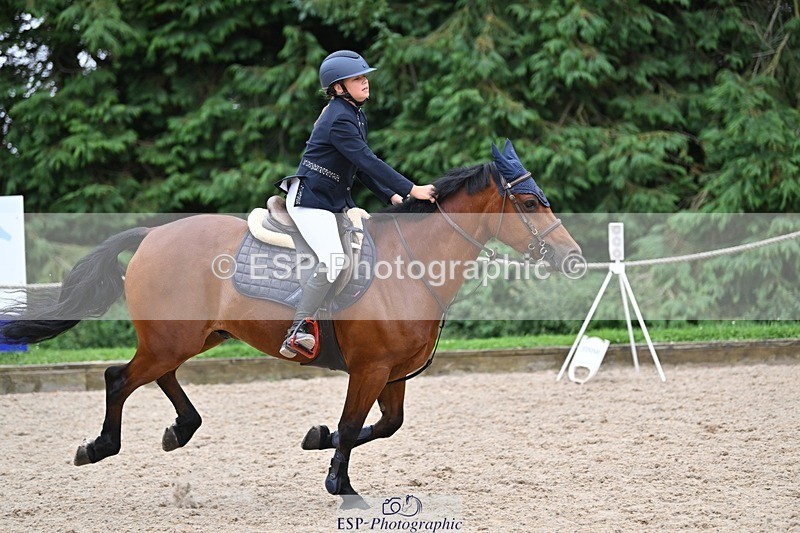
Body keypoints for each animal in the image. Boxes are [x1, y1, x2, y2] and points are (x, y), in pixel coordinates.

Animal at [0, 140, 582, 508]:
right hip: (172, 339)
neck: (411, 265)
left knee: (156, 376)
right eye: (528, 202)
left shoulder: (392, 374)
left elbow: (384, 425)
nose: (573, 258)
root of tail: (152, 235)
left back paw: (179, 429)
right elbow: (354, 422)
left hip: (187, 337)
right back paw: (100, 446)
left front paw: (318, 438)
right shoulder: (369, 369)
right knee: (119, 378)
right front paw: (341, 486)